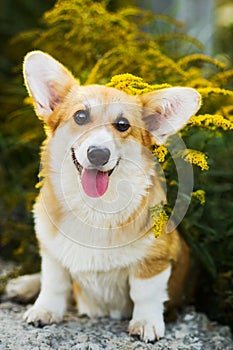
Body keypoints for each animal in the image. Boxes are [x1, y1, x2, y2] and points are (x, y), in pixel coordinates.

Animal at [19, 51, 200, 342]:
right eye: (80, 116)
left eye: (123, 125)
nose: (98, 154)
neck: (94, 207)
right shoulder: (51, 253)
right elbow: (54, 282)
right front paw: (45, 310)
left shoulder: (155, 260)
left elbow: (145, 293)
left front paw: (146, 323)